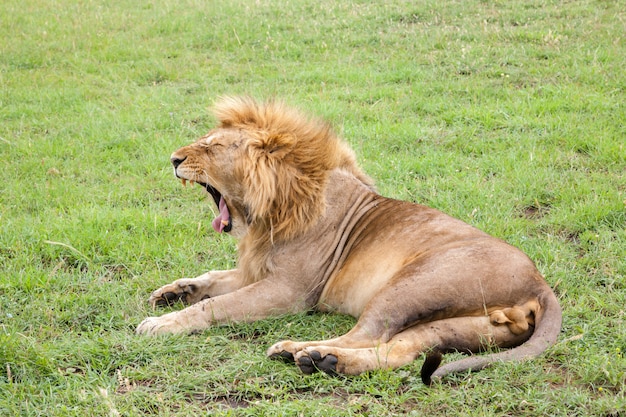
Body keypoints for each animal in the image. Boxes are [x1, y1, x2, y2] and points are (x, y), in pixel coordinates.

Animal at [138, 96, 560, 382]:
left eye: (212, 146)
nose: (173, 159)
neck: (268, 211)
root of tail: (539, 284)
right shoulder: (257, 270)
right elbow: (212, 279)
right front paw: (174, 292)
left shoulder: (291, 290)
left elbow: (216, 306)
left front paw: (161, 323)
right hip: (460, 325)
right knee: (398, 349)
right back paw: (327, 362)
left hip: (411, 285)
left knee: (366, 333)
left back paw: (302, 352)